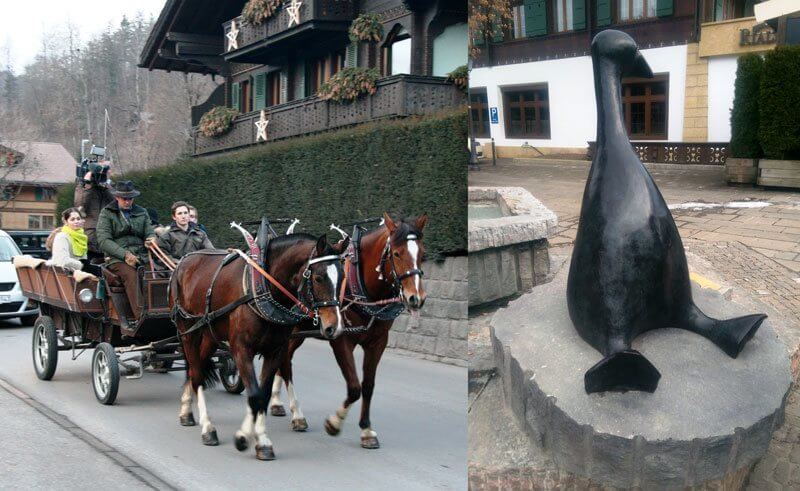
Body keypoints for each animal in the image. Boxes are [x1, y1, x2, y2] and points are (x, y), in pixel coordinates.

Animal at [172, 234, 346, 462]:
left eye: (343, 277)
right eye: (318, 278)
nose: (334, 327)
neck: (262, 290)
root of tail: (184, 260)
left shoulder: (275, 351)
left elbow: (262, 395)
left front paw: (261, 439)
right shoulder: (241, 349)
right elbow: (254, 395)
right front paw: (244, 437)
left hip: (210, 334)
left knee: (196, 368)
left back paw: (186, 410)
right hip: (188, 331)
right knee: (197, 373)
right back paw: (207, 427)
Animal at [264, 211, 428, 450]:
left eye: (423, 254)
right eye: (397, 254)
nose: (416, 297)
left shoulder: (378, 342)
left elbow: (367, 386)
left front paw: (367, 430)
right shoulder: (341, 339)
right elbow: (354, 386)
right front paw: (334, 423)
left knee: (285, 359)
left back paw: (276, 402)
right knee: (286, 364)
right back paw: (297, 415)